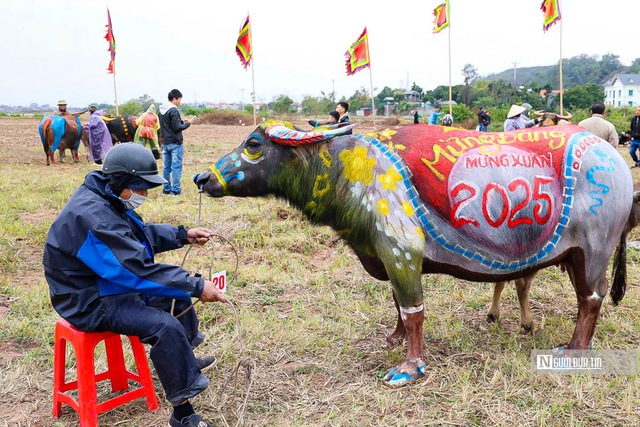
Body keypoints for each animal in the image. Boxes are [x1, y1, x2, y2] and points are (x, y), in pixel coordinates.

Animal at [195, 121, 636, 388]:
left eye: (254, 145)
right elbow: (396, 304)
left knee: (590, 300)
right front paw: (393, 338)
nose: (201, 177)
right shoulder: (387, 254)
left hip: (595, 248)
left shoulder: (402, 250)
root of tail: (611, 156)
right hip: (579, 254)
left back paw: (573, 351)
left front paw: (409, 367)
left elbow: (413, 310)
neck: (350, 169)